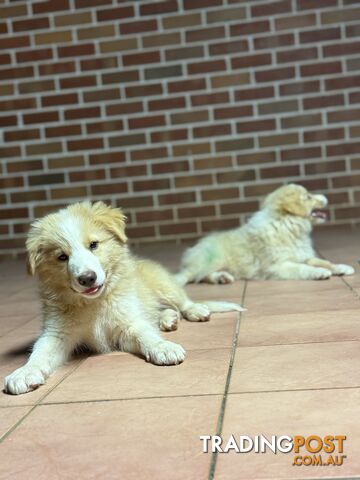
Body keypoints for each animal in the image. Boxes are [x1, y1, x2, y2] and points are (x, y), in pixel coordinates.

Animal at [4, 201, 245, 396]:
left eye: (94, 245)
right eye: (62, 257)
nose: (87, 278)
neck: (94, 303)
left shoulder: (129, 321)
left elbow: (145, 334)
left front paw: (163, 348)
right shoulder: (57, 334)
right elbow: (40, 352)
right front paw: (24, 372)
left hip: (163, 283)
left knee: (182, 302)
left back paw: (194, 311)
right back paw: (168, 320)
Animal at [176, 185, 354, 284]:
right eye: (308, 197)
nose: (326, 196)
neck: (288, 226)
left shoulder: (303, 255)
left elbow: (323, 261)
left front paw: (341, 267)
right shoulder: (278, 265)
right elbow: (302, 267)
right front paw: (319, 273)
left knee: (202, 276)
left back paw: (223, 278)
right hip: (212, 259)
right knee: (192, 275)